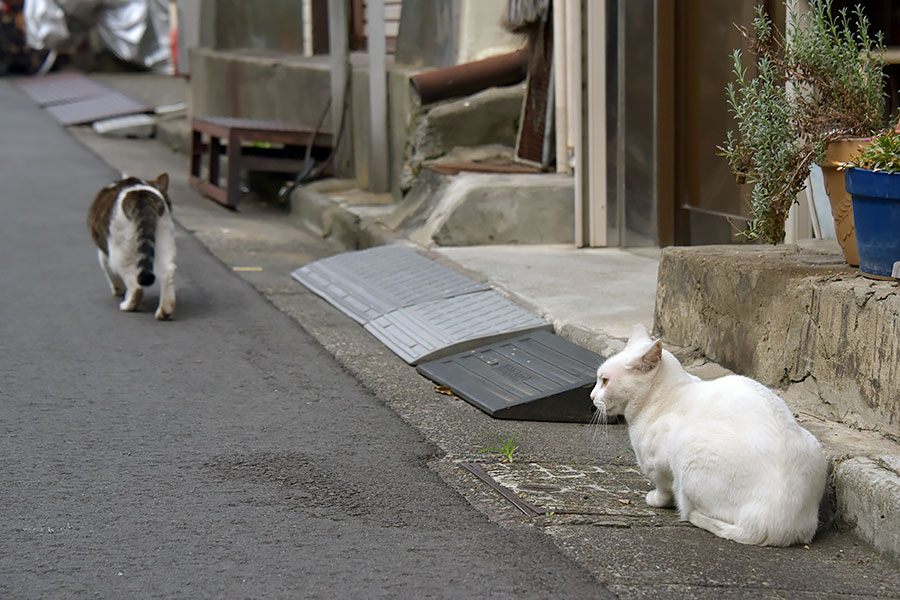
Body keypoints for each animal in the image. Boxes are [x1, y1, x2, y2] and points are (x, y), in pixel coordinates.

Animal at [592, 326, 828, 548]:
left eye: (605, 381)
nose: (592, 396)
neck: (664, 395)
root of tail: (777, 525)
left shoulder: (658, 463)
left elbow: (663, 486)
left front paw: (656, 500)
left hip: (687, 446)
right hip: (813, 445)